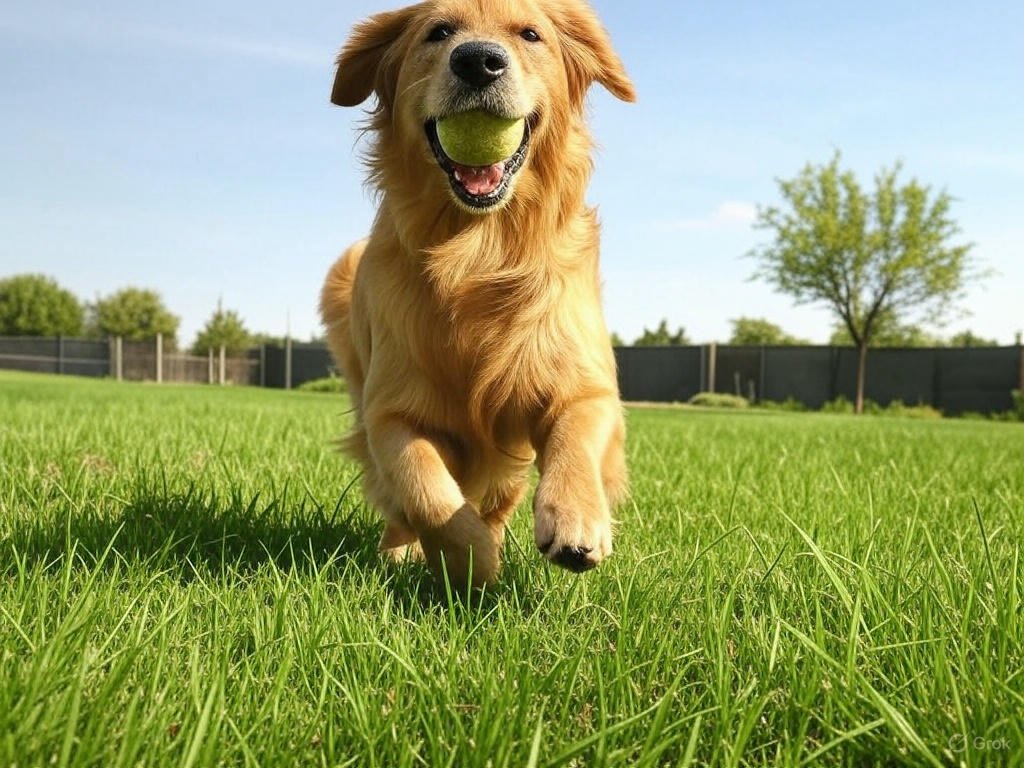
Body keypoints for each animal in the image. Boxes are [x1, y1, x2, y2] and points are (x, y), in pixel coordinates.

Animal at [323, 0, 634, 589]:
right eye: (438, 31)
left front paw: (576, 518)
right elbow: (424, 487)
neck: (479, 250)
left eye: (530, 34)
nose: (478, 61)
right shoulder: (390, 410)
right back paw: (400, 552)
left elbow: (576, 435)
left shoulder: (583, 383)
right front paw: (470, 559)